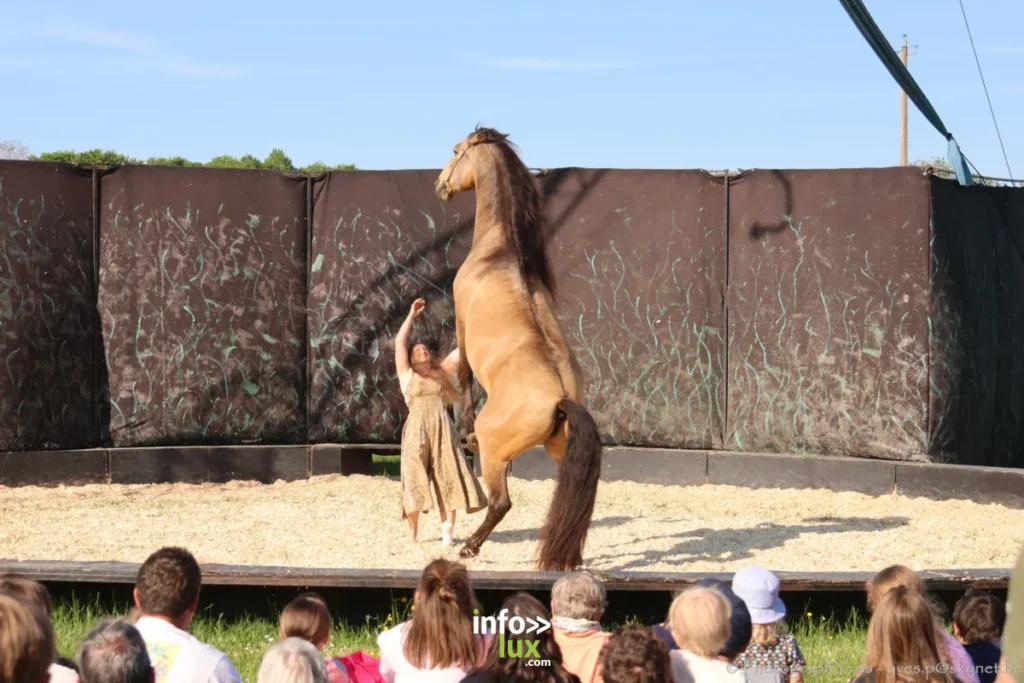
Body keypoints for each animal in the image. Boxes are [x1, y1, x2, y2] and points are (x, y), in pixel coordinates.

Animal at [434, 126, 602, 572]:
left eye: (456, 151)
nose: (440, 185)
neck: (499, 252)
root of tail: (561, 398)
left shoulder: (460, 324)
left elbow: (464, 377)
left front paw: (465, 431)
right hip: (559, 453)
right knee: (570, 501)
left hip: (497, 455)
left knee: (500, 503)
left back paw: (469, 546)